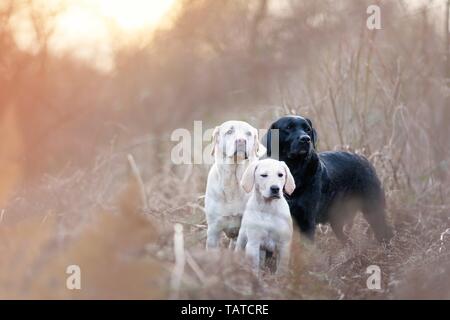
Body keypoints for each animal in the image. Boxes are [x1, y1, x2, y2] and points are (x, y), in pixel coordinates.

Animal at [264, 116, 394, 244]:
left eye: (307, 129)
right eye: (288, 127)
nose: (306, 139)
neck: (294, 170)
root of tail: (363, 158)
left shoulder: (307, 220)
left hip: (373, 207)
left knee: (384, 231)